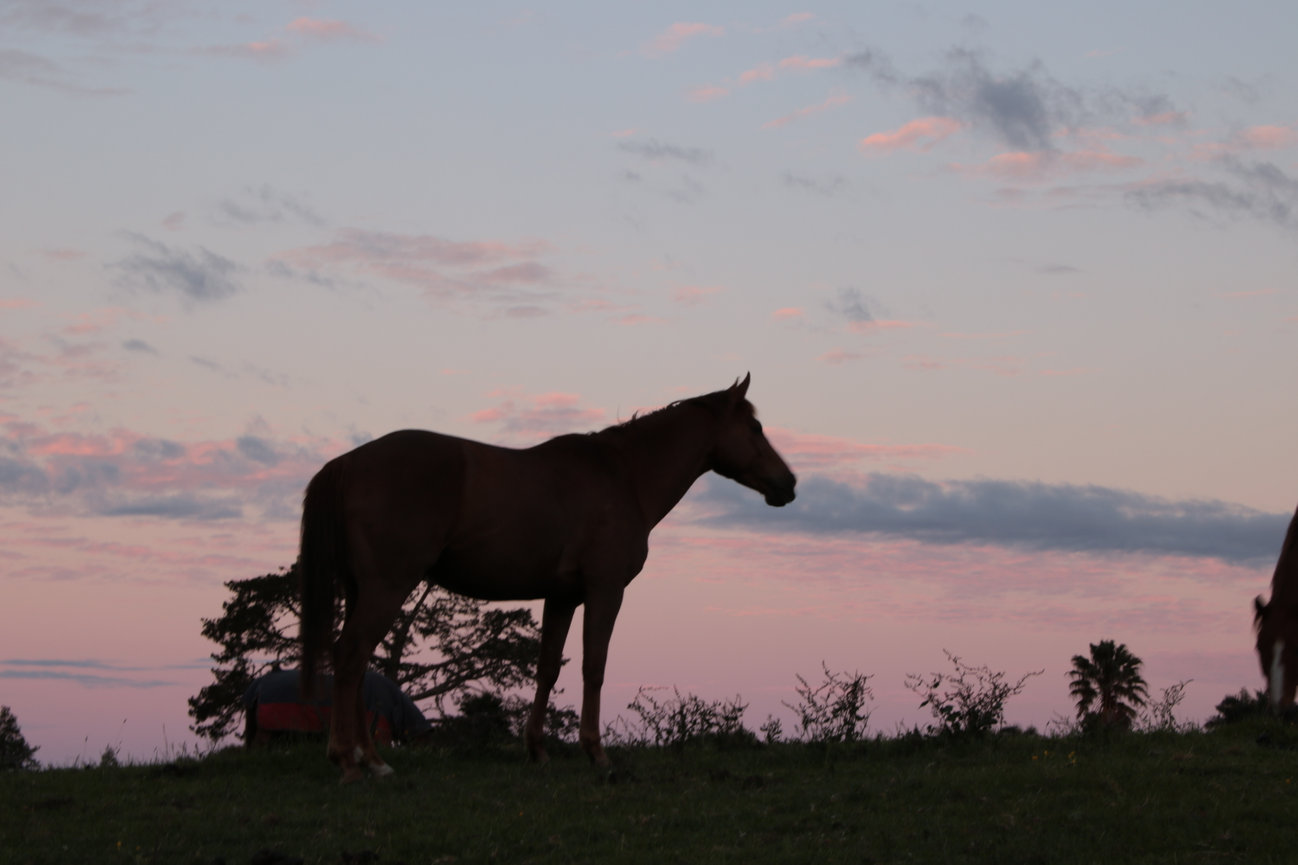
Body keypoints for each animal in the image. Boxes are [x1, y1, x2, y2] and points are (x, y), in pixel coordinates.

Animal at [298, 374, 796, 781]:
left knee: (357, 662)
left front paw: (537, 750)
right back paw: (349, 760)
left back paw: (372, 760)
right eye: (755, 429)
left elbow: (547, 669)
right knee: (350, 657)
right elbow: (595, 666)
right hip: (387, 586)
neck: (624, 475)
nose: (788, 484)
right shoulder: (604, 590)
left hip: (364, 590)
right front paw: (596, 754)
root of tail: (348, 462)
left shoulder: (562, 598)